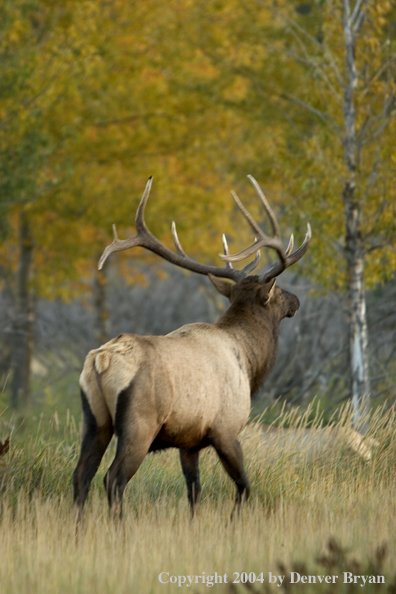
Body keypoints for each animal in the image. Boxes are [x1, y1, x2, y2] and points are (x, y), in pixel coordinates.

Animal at [72, 175, 310, 520]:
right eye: (277, 294)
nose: (296, 300)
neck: (249, 361)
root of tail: (101, 361)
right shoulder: (226, 429)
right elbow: (243, 487)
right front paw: (233, 524)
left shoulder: (189, 442)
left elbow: (194, 493)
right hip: (139, 423)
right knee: (113, 479)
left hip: (94, 419)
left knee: (81, 475)